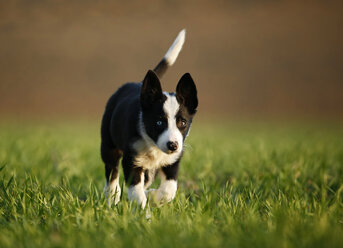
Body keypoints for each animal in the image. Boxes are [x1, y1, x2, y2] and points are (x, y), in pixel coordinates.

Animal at [101, 29, 199, 208]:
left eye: (182, 122)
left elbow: (169, 189)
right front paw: (142, 210)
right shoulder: (131, 160)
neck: (153, 146)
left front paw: (153, 197)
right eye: (159, 122)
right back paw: (112, 197)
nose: (173, 145)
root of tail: (139, 83)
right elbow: (136, 191)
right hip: (108, 144)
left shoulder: (172, 162)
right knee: (111, 171)